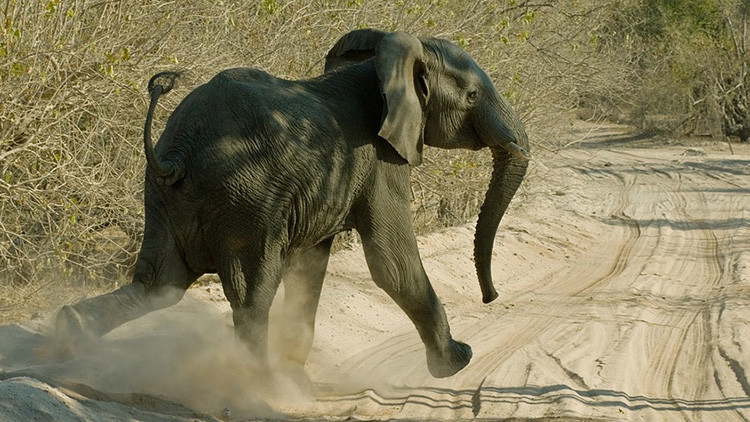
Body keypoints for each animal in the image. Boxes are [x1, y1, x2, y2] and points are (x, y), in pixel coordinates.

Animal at [53, 29, 532, 380]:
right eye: (472, 96)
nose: (491, 297)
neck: (385, 62)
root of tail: (178, 152)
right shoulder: (382, 159)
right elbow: (391, 264)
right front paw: (458, 362)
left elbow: (311, 267)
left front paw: (297, 375)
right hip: (245, 198)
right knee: (252, 294)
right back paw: (257, 383)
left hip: (166, 197)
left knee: (159, 283)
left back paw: (66, 336)